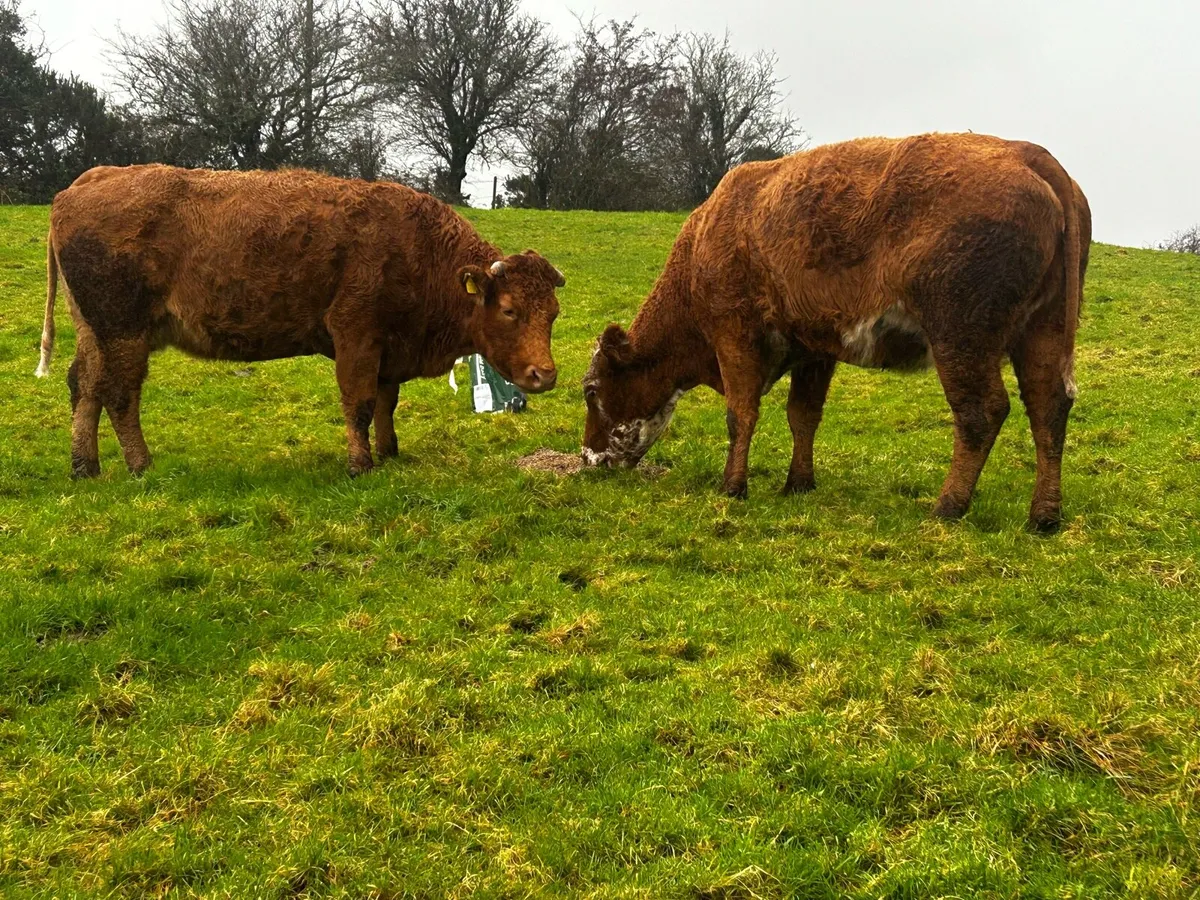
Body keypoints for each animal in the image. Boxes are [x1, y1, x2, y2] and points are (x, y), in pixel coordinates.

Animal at [35, 164, 565, 478]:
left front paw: (389, 451)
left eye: (554, 313)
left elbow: (386, 403)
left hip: (95, 332)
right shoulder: (356, 337)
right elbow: (360, 404)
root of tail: (84, 183)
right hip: (124, 333)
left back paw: (85, 467)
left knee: (85, 386)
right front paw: (360, 464)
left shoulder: (388, 348)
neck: (418, 250)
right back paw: (141, 464)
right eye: (510, 309)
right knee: (120, 395)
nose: (545, 374)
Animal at [582, 133, 1091, 531]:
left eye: (590, 391)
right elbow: (803, 415)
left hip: (961, 338)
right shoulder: (815, 350)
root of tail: (1025, 152)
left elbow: (741, 415)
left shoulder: (735, 337)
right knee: (1047, 406)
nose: (587, 459)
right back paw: (1043, 516)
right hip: (1040, 334)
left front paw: (732, 487)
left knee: (981, 411)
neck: (706, 240)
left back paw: (947, 506)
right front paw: (798, 484)